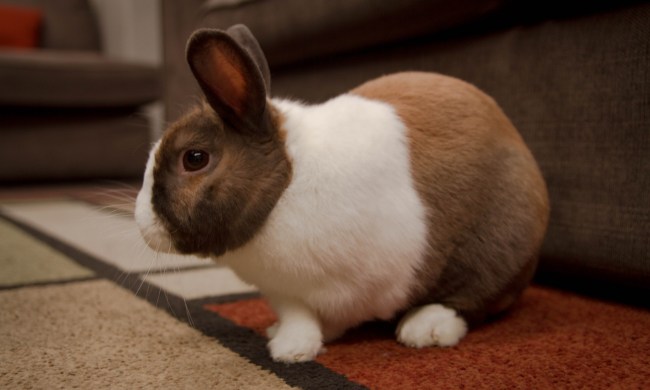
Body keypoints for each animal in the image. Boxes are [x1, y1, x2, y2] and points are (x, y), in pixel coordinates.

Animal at [135, 25, 548, 364]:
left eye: (195, 158)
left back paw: (424, 328)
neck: (286, 185)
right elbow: (298, 316)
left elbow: (311, 319)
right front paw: (286, 339)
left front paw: (290, 352)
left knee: (474, 301)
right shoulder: (287, 292)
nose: (141, 224)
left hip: (496, 250)